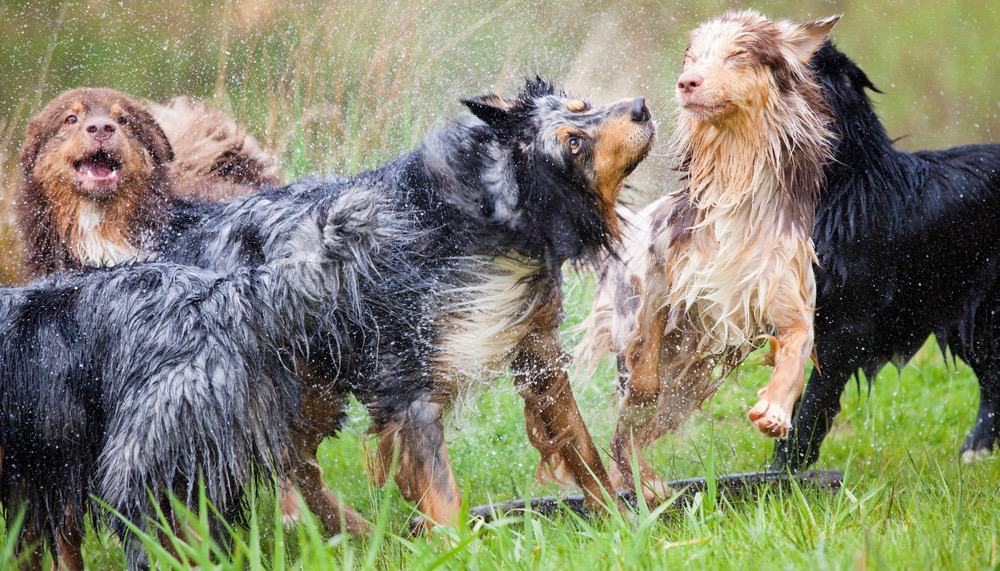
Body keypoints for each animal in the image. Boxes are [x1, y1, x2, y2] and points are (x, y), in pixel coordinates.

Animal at [576, 11, 840, 498]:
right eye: (692, 58)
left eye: (736, 55)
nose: (687, 82)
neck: (734, 182)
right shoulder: (659, 277)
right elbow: (645, 350)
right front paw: (643, 378)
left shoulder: (787, 294)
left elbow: (796, 352)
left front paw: (775, 410)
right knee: (626, 427)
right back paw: (646, 483)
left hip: (690, 382)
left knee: (635, 432)